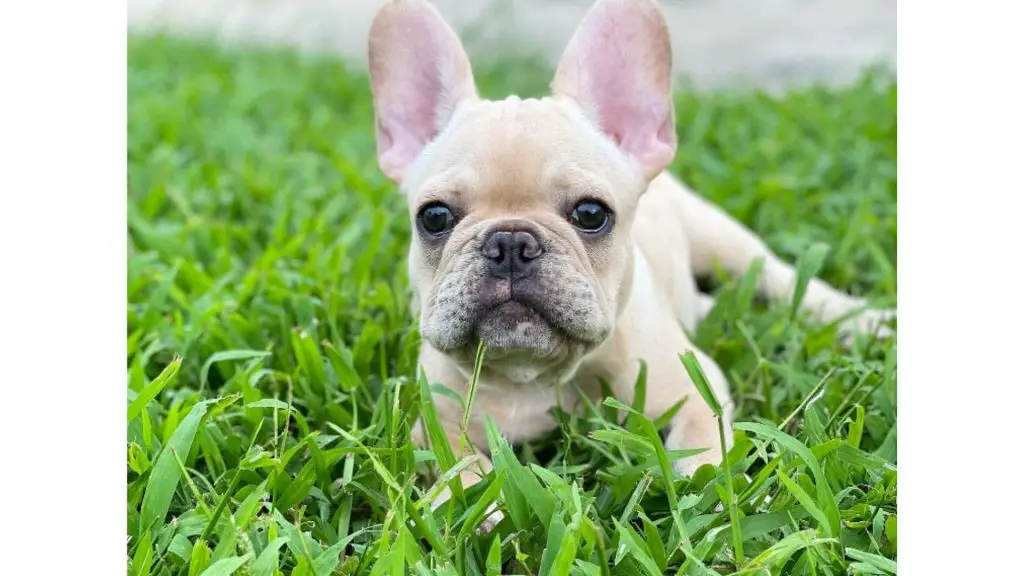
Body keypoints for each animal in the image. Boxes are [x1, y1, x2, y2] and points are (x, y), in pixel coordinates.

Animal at [364, 0, 892, 524]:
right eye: (434, 217)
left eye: (591, 214)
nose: (510, 243)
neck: (533, 375)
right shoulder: (434, 419)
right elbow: (453, 461)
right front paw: (477, 507)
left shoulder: (693, 389)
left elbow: (705, 449)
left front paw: (713, 499)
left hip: (725, 242)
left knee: (786, 280)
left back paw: (866, 321)